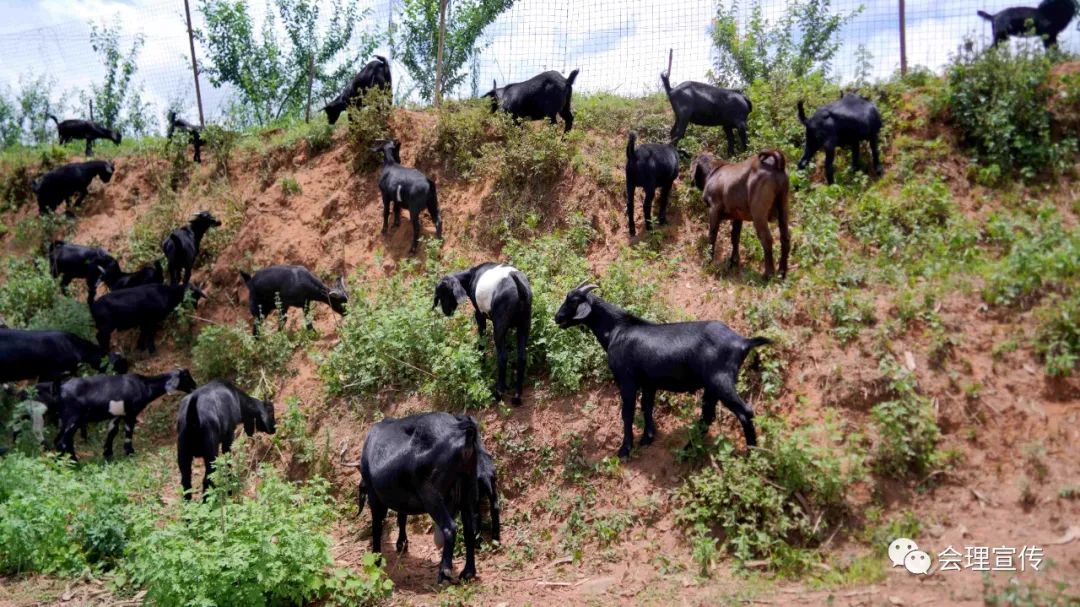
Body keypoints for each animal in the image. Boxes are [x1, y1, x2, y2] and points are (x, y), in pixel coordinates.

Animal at [54, 369, 196, 457]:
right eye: (186, 376)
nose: (195, 386)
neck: (144, 385)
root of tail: (60, 389)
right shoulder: (131, 412)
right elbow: (128, 432)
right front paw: (130, 452)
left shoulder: (117, 414)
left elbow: (112, 431)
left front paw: (108, 454)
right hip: (73, 417)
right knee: (63, 441)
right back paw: (75, 464)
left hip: (64, 419)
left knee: (60, 440)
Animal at [354, 410, 481, 583]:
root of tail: (461, 428)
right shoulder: (402, 498)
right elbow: (402, 517)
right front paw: (401, 544)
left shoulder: (375, 496)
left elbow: (377, 524)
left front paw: (377, 559)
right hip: (468, 487)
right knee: (469, 529)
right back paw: (468, 572)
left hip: (431, 495)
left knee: (450, 528)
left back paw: (444, 573)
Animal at [432, 262, 529, 403]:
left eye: (444, 293)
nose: (446, 311)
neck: (470, 276)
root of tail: (520, 290)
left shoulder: (479, 314)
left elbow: (482, 339)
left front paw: (481, 363)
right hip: (525, 324)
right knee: (521, 357)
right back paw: (517, 396)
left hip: (499, 326)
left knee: (502, 357)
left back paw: (498, 393)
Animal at [557, 280, 768, 455]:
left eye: (572, 302)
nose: (556, 318)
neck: (617, 330)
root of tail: (743, 342)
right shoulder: (649, 382)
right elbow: (647, 406)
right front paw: (647, 438)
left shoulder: (626, 379)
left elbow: (628, 412)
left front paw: (625, 448)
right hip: (712, 387)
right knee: (708, 415)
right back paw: (688, 449)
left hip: (721, 381)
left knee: (745, 412)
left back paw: (752, 453)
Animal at [691, 149, 794, 278]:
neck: (713, 171)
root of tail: (775, 164)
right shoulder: (737, 216)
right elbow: (735, 237)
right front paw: (733, 261)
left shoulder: (714, 210)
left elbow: (712, 236)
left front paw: (708, 260)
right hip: (783, 208)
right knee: (785, 238)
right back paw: (782, 272)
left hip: (759, 214)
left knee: (767, 240)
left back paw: (768, 274)